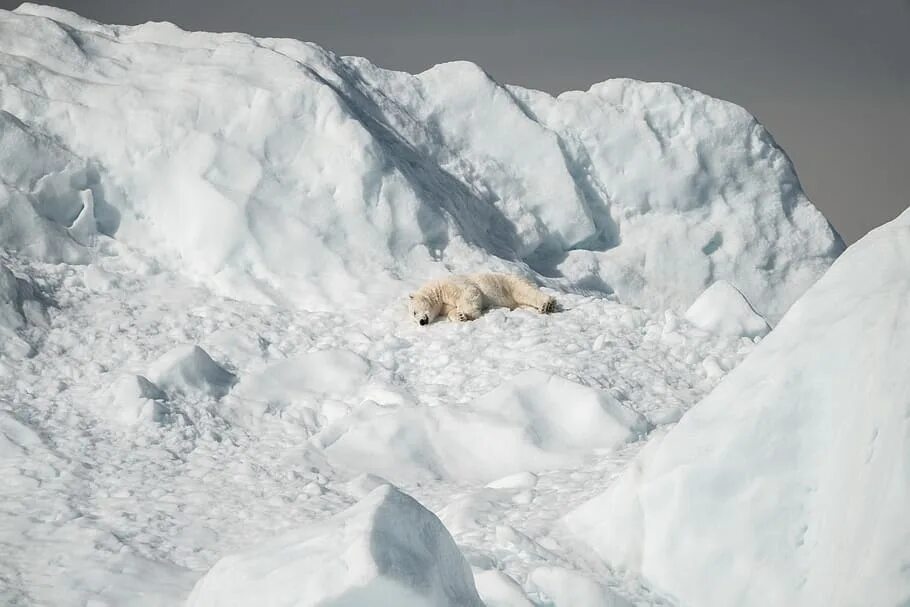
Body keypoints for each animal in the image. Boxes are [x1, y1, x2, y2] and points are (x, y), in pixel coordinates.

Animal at [408, 274, 556, 326]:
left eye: (414, 312)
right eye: (414, 316)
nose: (421, 322)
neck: (437, 289)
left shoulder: (451, 284)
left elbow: (469, 292)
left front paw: (469, 314)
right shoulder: (444, 306)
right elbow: (450, 311)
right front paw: (460, 316)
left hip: (509, 283)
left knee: (525, 292)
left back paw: (547, 304)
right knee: (523, 304)